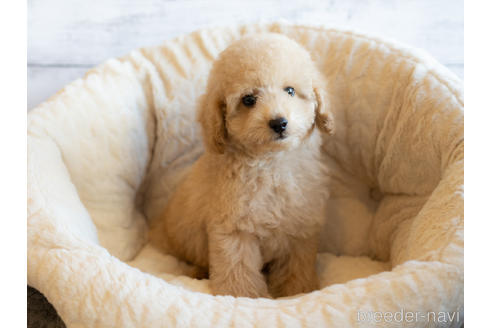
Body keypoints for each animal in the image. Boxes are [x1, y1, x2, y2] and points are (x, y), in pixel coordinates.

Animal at [150, 32, 334, 298]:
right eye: (249, 100)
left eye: (290, 90)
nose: (279, 123)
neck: (270, 163)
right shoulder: (234, 229)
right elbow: (239, 269)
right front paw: (243, 297)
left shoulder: (301, 227)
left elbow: (297, 265)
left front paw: (298, 291)